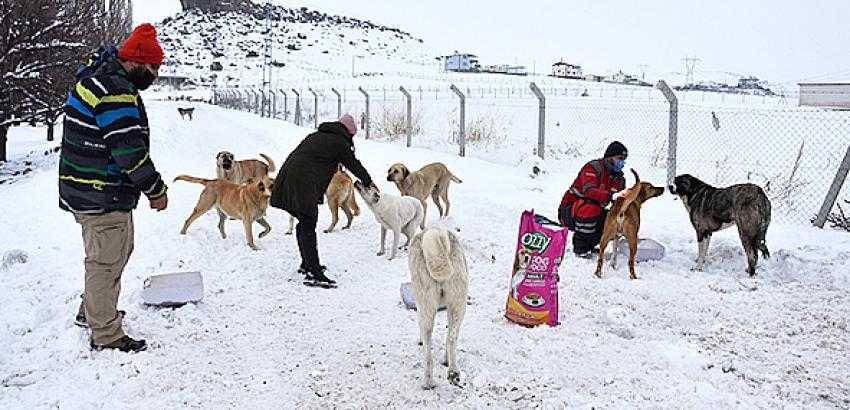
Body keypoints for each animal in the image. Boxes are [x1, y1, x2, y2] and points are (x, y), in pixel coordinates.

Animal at [406, 229, 468, 390]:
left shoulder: (419, 306)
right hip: (458, 304)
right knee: (452, 337)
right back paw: (453, 372)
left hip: (426, 306)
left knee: (428, 352)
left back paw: (428, 382)